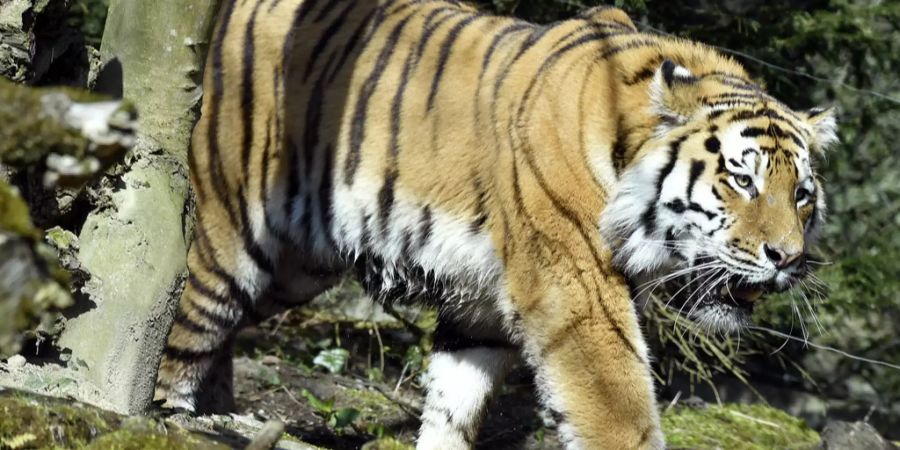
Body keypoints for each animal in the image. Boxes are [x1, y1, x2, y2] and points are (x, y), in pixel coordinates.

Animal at [155, 0, 836, 448]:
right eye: (741, 180)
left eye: (802, 195)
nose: (787, 258)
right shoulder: (575, 291)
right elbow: (616, 408)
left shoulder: (479, 302)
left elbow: (453, 404)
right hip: (222, 239)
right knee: (169, 337)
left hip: (292, 268)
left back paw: (224, 417)